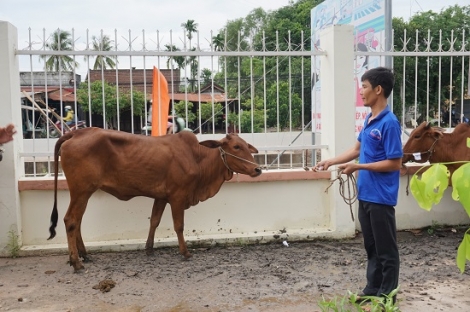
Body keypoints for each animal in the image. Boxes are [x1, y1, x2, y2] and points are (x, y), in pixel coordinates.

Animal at [48, 128, 262, 272]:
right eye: (236, 146)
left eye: (247, 146)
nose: (257, 169)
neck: (197, 157)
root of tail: (76, 133)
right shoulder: (178, 196)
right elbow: (179, 226)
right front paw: (185, 252)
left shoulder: (161, 197)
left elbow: (154, 221)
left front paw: (149, 248)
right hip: (81, 191)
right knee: (71, 221)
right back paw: (76, 262)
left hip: (83, 193)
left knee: (77, 222)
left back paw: (84, 255)